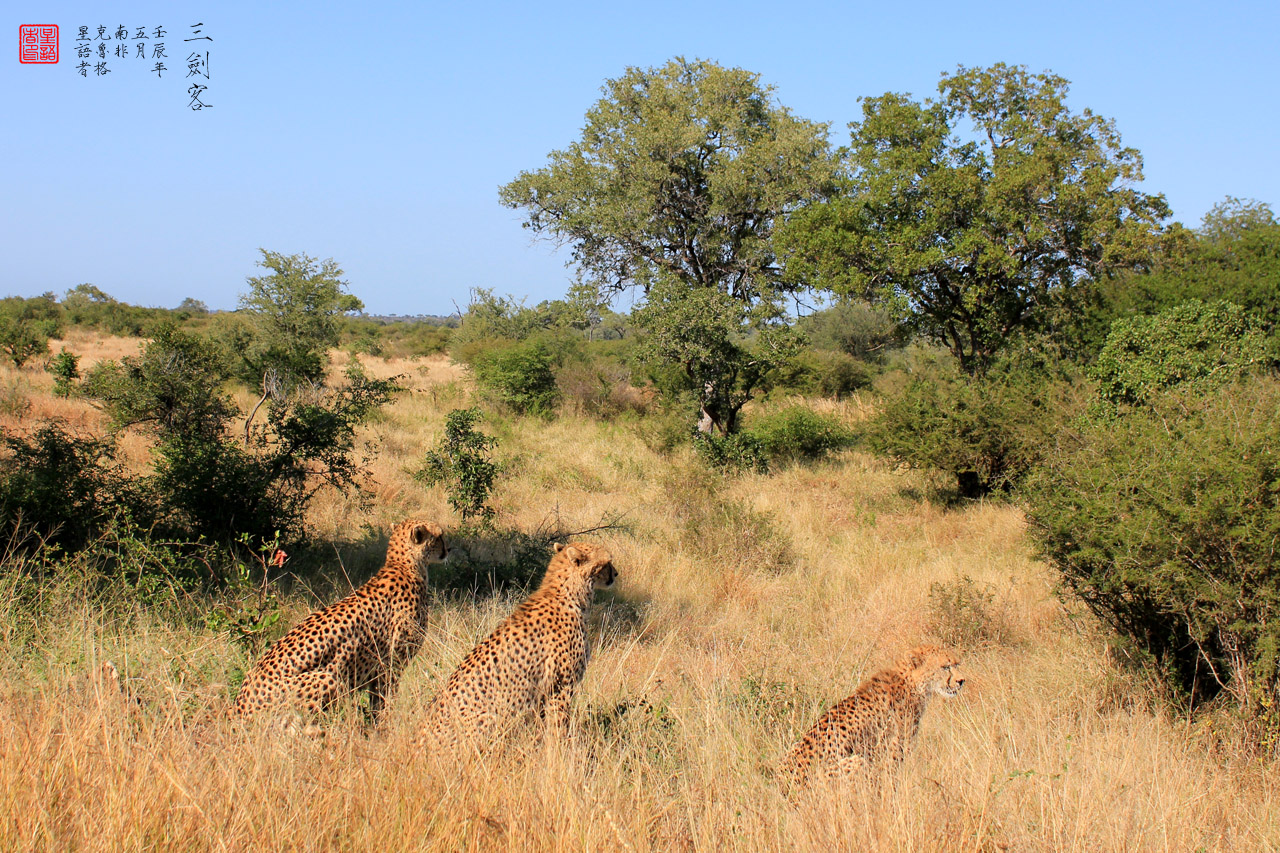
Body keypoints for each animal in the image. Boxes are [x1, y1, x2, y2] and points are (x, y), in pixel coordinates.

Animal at [232, 514, 448, 722]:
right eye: (439, 536)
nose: (448, 550)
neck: (403, 565)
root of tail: (237, 706)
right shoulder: (390, 666)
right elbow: (383, 703)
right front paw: (386, 726)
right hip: (329, 677)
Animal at [417, 540, 616, 747]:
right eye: (607, 563)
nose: (616, 574)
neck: (569, 594)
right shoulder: (561, 685)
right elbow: (560, 724)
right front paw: (563, 748)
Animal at [773, 640, 962, 788]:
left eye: (956, 665)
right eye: (945, 667)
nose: (961, 681)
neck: (913, 683)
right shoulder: (893, 751)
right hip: (858, 761)